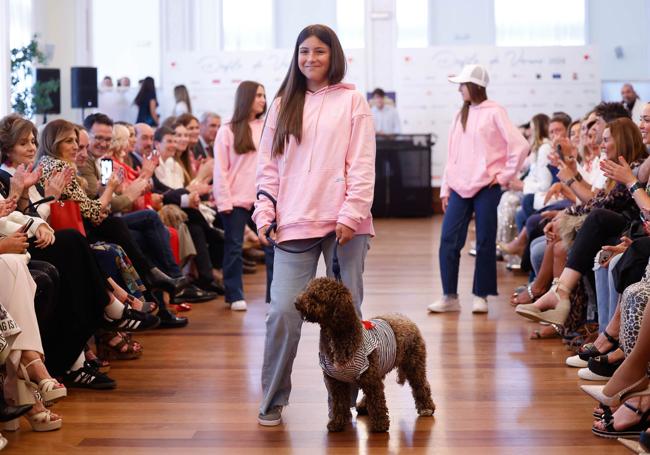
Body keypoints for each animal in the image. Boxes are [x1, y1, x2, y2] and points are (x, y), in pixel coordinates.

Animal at [294, 276, 436, 432]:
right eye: (307, 290)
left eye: (316, 296)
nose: (296, 302)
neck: (339, 334)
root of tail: (406, 319)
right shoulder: (335, 381)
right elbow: (339, 404)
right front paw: (337, 422)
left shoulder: (370, 377)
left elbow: (377, 400)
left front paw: (380, 424)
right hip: (380, 368)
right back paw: (363, 406)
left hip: (413, 365)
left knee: (421, 385)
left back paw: (426, 407)